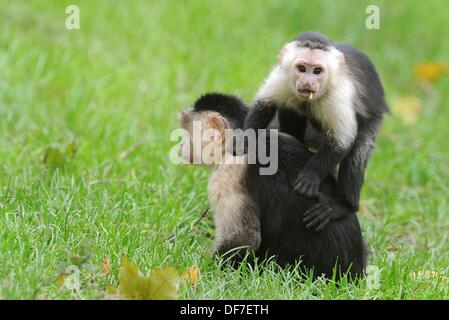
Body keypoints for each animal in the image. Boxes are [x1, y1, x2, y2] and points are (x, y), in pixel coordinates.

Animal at [240, 31, 386, 229]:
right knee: (291, 108)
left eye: (317, 71)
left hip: (374, 117)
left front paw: (311, 175)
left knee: (356, 156)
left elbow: (342, 141)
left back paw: (345, 205)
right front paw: (243, 141)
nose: (307, 82)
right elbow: (263, 106)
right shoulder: (282, 79)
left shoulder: (338, 95)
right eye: (301, 68)